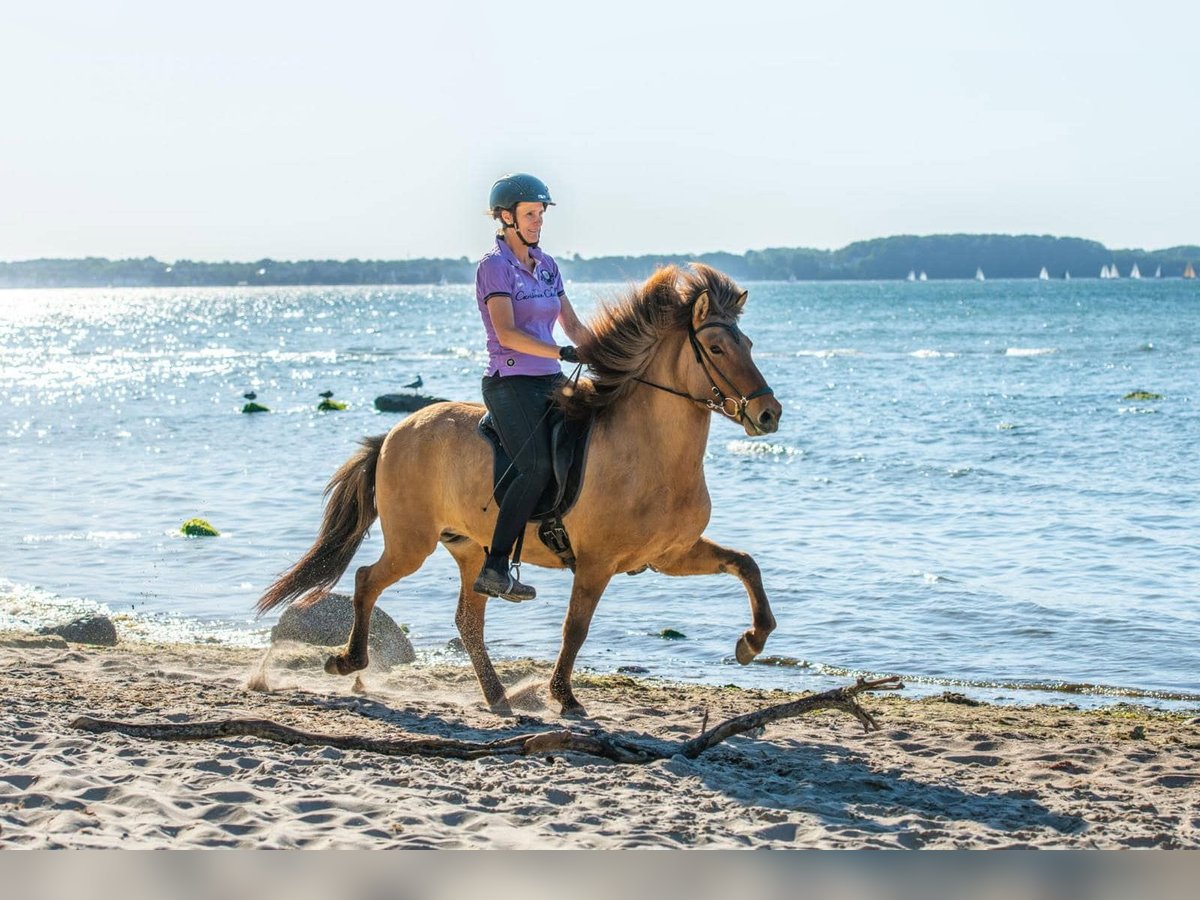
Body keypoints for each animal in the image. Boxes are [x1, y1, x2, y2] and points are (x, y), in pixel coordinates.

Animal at [256, 264, 782, 715]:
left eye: (750, 343)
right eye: (716, 348)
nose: (768, 413)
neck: (649, 452)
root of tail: (393, 433)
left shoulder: (671, 554)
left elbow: (746, 564)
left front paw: (752, 641)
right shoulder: (596, 563)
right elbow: (576, 628)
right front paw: (564, 696)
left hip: (470, 548)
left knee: (468, 621)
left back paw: (497, 695)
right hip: (411, 542)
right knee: (368, 580)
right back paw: (347, 661)